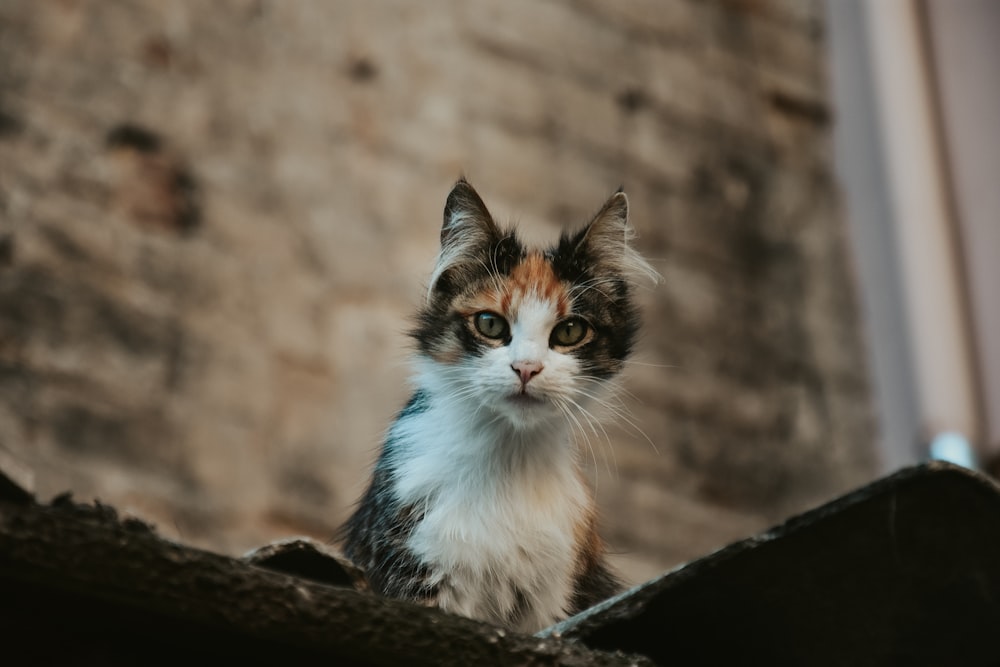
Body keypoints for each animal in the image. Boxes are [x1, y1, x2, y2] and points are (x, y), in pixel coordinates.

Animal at [342, 180, 656, 636]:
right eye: (490, 324)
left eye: (569, 331)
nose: (526, 368)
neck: (510, 457)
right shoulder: (411, 562)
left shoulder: (558, 593)